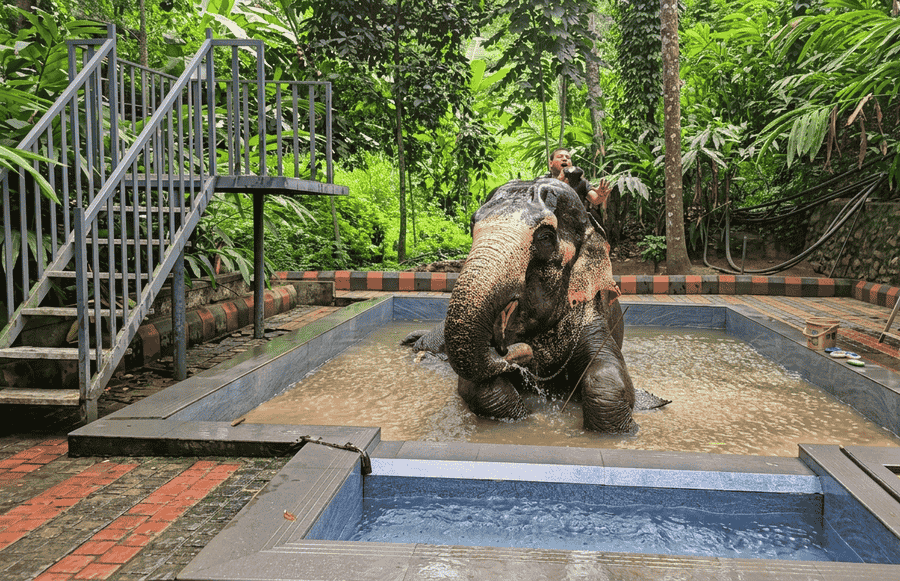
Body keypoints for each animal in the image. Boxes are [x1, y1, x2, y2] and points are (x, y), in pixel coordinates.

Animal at [404, 172, 669, 434]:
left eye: (545, 236)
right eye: (472, 226)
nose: (506, 348)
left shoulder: (592, 314)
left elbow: (607, 377)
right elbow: (478, 387)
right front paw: (524, 417)